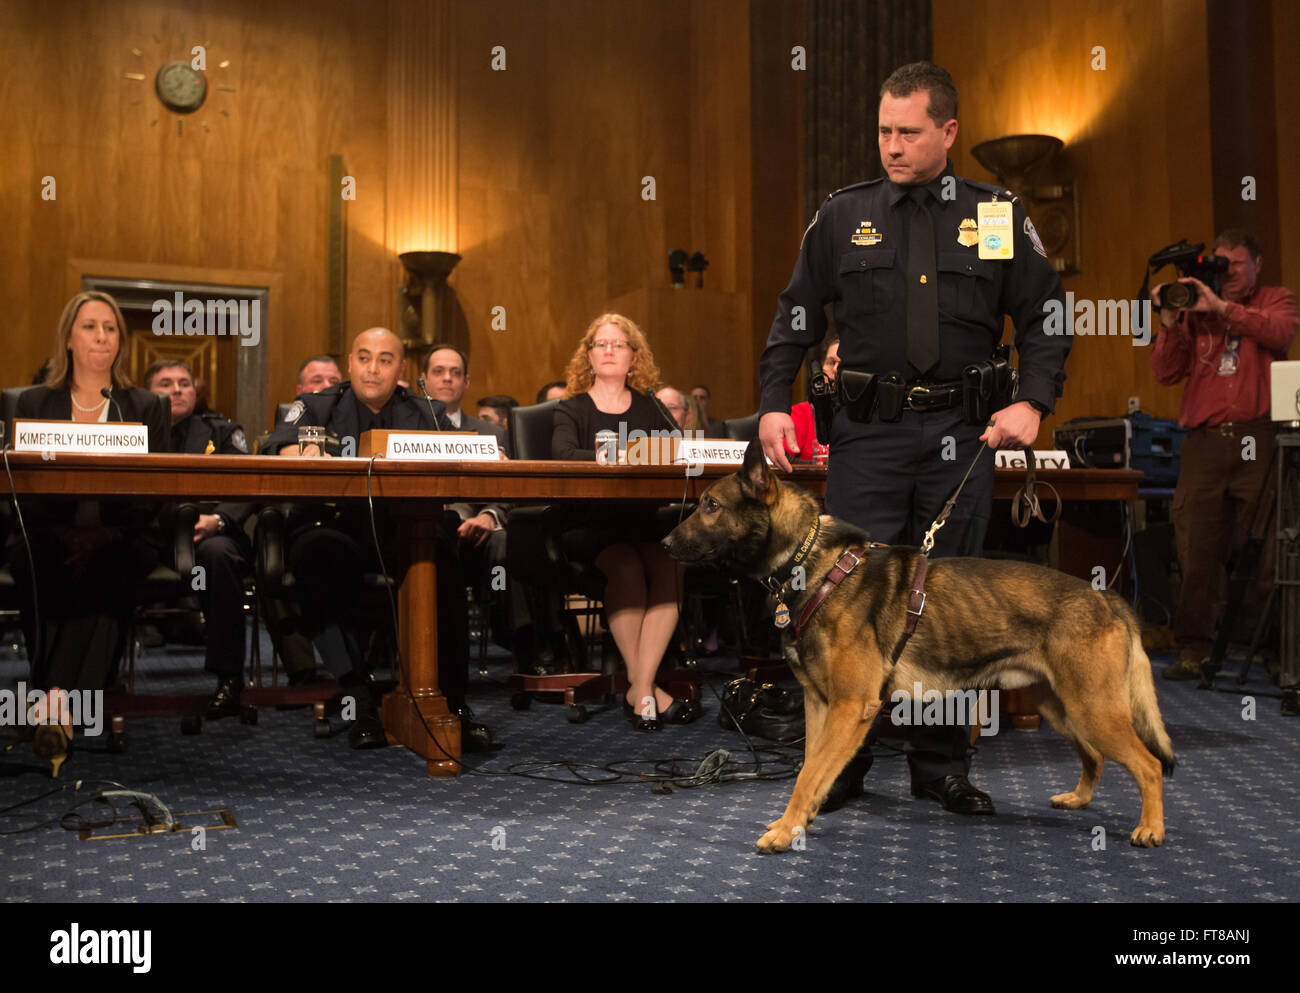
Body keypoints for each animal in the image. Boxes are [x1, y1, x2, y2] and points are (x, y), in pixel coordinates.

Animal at [665, 441, 1175, 852]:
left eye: (711, 505)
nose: (665, 541)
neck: (811, 561)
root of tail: (1106, 596)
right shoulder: (819, 704)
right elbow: (813, 768)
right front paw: (798, 823)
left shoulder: (851, 708)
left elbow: (808, 775)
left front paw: (786, 832)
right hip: (1064, 707)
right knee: (1096, 756)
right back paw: (1079, 798)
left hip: (1093, 709)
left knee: (1149, 765)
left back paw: (1151, 829)